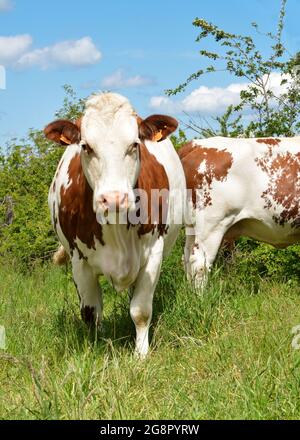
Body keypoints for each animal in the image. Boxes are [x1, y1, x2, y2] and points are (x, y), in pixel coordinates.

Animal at [45, 93, 185, 358]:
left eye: (134, 145)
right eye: (86, 146)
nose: (113, 198)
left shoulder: (153, 254)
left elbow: (140, 310)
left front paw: (141, 354)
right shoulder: (79, 261)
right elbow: (90, 313)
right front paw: (96, 347)